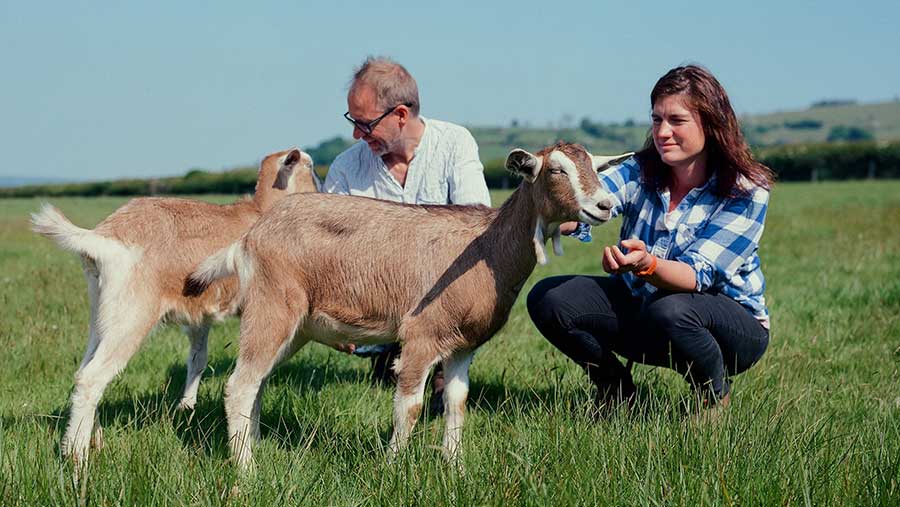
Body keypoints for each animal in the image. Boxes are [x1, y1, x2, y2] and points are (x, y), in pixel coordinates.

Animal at [30, 148, 319, 465]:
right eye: (310, 166)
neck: (259, 210)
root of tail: (104, 235)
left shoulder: (199, 315)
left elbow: (198, 358)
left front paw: (186, 408)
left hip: (103, 314)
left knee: (83, 370)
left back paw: (82, 441)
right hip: (131, 315)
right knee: (92, 377)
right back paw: (78, 456)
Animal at [190, 142, 633, 469]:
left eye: (597, 167)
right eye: (556, 170)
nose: (604, 205)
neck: (484, 248)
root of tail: (250, 238)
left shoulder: (461, 346)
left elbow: (457, 403)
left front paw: (455, 467)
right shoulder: (421, 335)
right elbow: (411, 406)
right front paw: (391, 467)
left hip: (295, 326)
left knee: (257, 382)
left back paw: (255, 447)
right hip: (272, 307)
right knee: (240, 384)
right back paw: (246, 468)